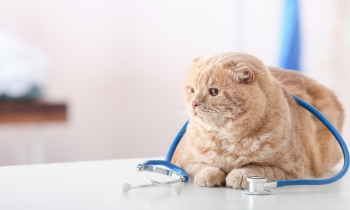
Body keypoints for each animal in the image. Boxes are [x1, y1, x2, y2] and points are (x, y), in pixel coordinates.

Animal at [172, 51, 344, 189]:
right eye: (191, 90)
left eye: (215, 92)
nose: (194, 103)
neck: (228, 140)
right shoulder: (184, 161)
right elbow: (201, 166)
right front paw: (209, 174)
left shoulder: (289, 169)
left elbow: (257, 168)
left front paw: (239, 175)